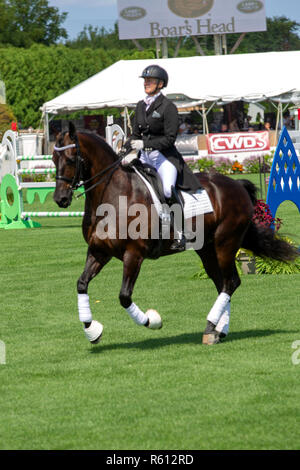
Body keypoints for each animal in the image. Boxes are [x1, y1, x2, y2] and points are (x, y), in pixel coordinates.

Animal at [52, 123, 298, 346]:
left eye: (72, 159)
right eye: (54, 160)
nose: (60, 199)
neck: (113, 196)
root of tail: (236, 184)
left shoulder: (134, 254)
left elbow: (124, 296)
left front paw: (152, 320)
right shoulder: (99, 251)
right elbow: (81, 284)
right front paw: (92, 330)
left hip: (225, 244)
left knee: (231, 282)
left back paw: (211, 327)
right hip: (206, 249)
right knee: (222, 283)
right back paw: (218, 330)